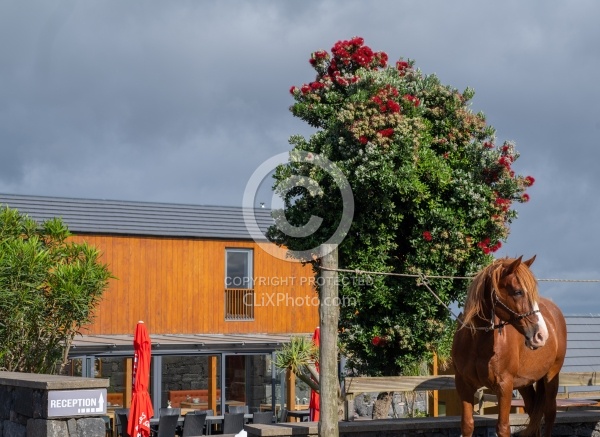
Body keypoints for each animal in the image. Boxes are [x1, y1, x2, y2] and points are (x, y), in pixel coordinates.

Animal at [450, 255, 568, 436]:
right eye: (518, 292)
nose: (541, 335)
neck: (478, 342)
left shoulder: (504, 386)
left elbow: (503, 427)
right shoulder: (463, 385)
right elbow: (467, 425)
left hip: (551, 376)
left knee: (549, 414)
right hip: (525, 383)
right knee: (533, 413)